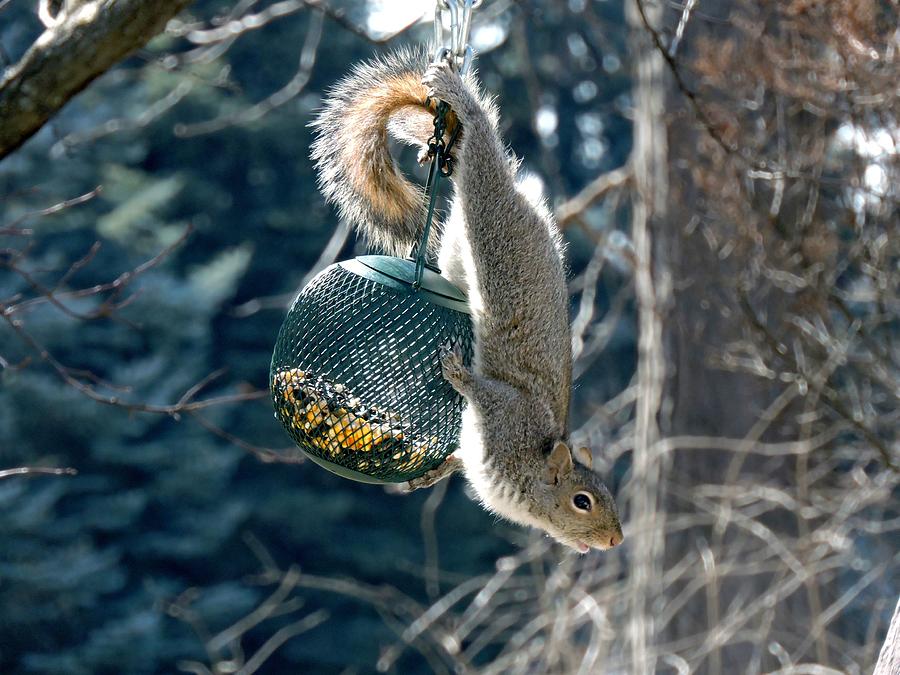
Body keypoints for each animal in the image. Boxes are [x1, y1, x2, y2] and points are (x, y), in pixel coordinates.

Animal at [312, 48, 624, 556]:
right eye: (583, 501)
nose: (616, 540)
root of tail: (523, 197)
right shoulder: (508, 416)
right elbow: (483, 392)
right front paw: (456, 373)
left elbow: (461, 458)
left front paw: (434, 471)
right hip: (490, 220)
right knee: (482, 157)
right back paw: (463, 107)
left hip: (460, 246)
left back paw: (449, 148)